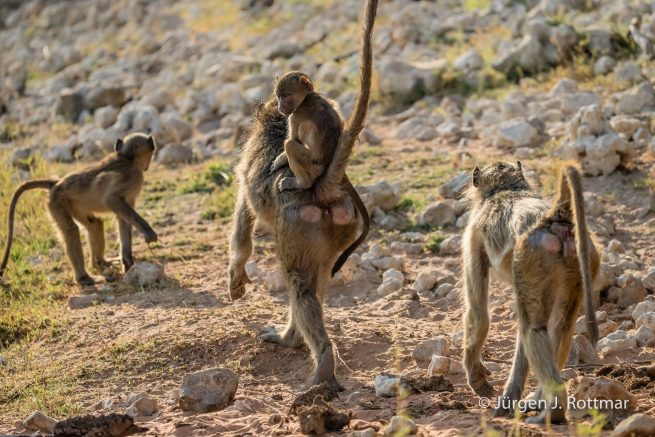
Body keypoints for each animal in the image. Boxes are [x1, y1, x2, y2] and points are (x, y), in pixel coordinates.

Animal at [0, 133, 158, 286]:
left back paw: (100, 263)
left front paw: (127, 262)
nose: (147, 166)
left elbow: (122, 218)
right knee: (71, 230)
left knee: (95, 224)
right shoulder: (132, 177)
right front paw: (148, 232)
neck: (128, 159)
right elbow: (111, 200)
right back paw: (84, 278)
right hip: (57, 202)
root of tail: (57, 183)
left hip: (74, 205)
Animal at [228, 0, 378, 388]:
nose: (281, 106)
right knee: (317, 281)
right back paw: (295, 341)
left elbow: (243, 217)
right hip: (340, 228)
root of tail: (323, 190)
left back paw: (318, 356)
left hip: (299, 226)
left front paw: (236, 278)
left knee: (301, 286)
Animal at [461, 161, 599, 425]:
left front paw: (476, 379)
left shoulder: (473, 235)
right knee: (561, 327)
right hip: (582, 260)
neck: (506, 188)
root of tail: (555, 218)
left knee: (532, 329)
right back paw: (540, 402)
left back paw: (553, 411)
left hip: (532, 259)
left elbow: (479, 314)